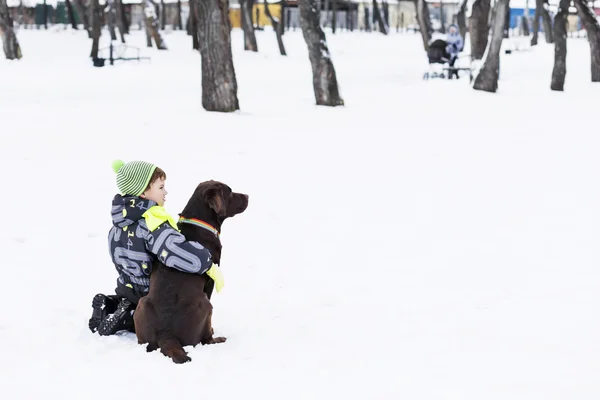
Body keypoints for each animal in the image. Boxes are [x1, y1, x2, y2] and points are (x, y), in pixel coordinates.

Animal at [134, 180, 248, 364]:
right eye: (230, 192)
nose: (247, 196)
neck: (199, 221)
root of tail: (167, 335)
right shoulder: (210, 279)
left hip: (142, 304)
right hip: (207, 306)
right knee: (206, 340)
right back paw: (217, 338)